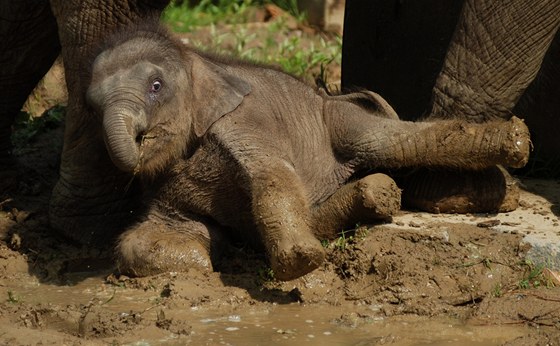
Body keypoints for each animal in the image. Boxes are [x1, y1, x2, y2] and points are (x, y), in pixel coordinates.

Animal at [87, 25, 528, 282]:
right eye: (91, 105)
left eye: (156, 86)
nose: (139, 139)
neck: (202, 63)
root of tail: (328, 95)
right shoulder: (167, 181)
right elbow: (142, 238)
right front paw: (207, 259)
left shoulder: (242, 123)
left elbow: (274, 177)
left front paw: (300, 263)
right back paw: (380, 193)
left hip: (340, 120)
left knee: (392, 141)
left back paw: (516, 144)